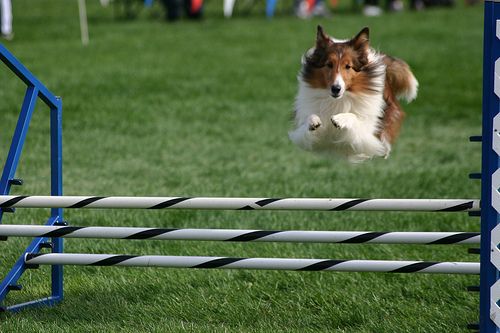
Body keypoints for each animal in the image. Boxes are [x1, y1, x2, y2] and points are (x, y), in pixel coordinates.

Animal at [288, 25, 420, 162]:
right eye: (329, 64)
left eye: (348, 66)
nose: (336, 89)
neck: (340, 99)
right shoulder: (305, 132)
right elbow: (310, 119)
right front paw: (314, 121)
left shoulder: (368, 134)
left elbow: (353, 117)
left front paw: (340, 119)